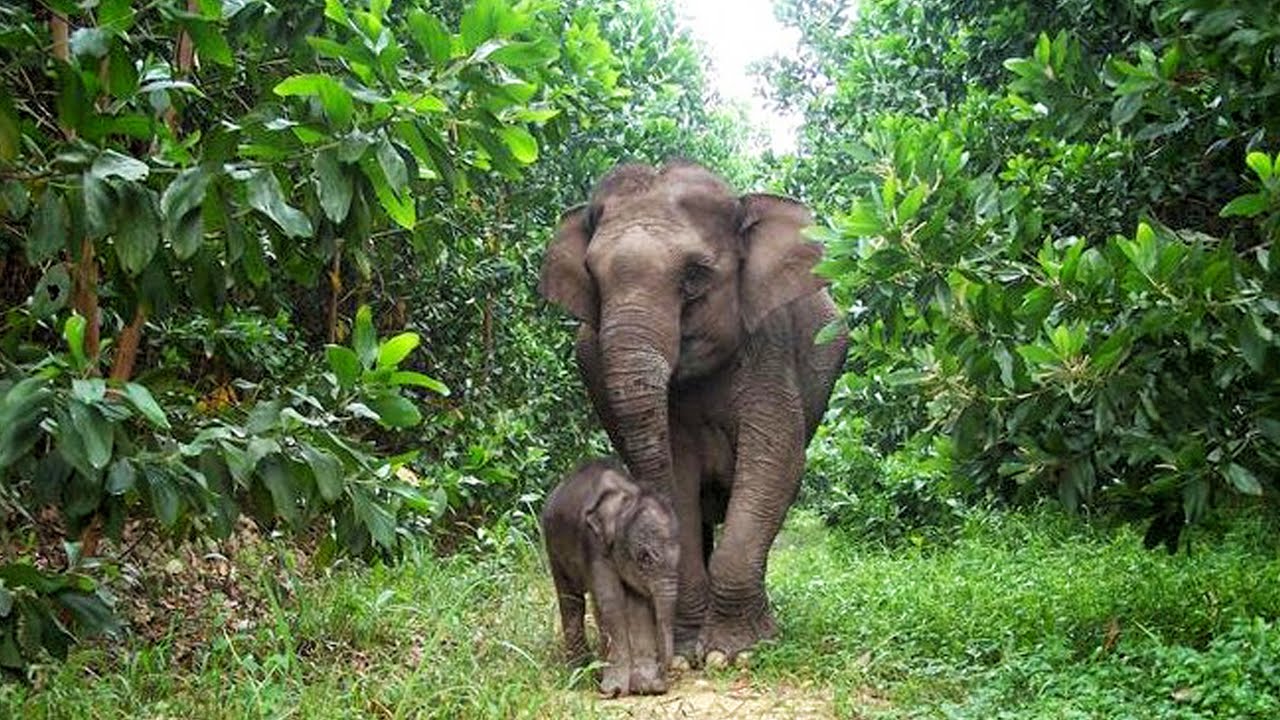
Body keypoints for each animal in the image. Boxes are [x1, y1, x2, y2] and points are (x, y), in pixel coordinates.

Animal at [538, 161, 849, 664]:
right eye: (593, 279)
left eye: (695, 277)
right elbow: (678, 470)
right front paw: (688, 652)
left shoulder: (770, 345)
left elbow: (774, 461)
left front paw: (735, 652)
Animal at [541, 457, 681, 696]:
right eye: (645, 558)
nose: (661, 685)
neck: (627, 499)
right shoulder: (593, 544)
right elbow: (611, 602)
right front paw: (614, 690)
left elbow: (639, 607)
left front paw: (643, 687)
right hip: (553, 547)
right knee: (571, 600)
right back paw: (580, 671)